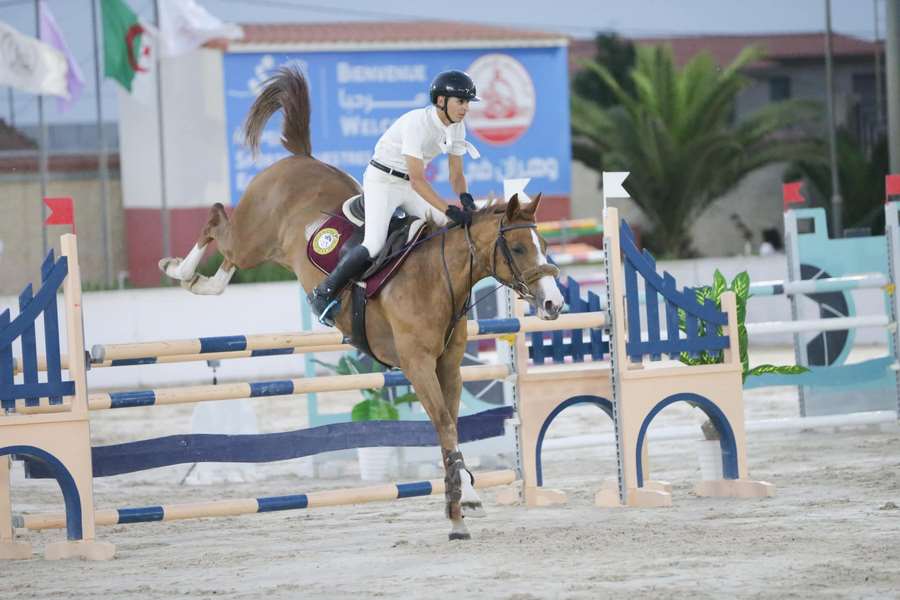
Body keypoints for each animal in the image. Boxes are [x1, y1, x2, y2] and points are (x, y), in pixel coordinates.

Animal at [158, 68, 560, 540]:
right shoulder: (416, 364)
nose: (553, 303)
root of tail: (300, 159)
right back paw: (180, 270)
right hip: (254, 237)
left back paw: (200, 281)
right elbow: (444, 424)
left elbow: (451, 425)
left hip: (259, 247)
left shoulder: (448, 365)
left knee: (227, 256)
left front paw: (468, 498)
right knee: (217, 221)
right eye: (516, 248)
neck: (438, 279)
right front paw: (459, 511)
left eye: (545, 245)